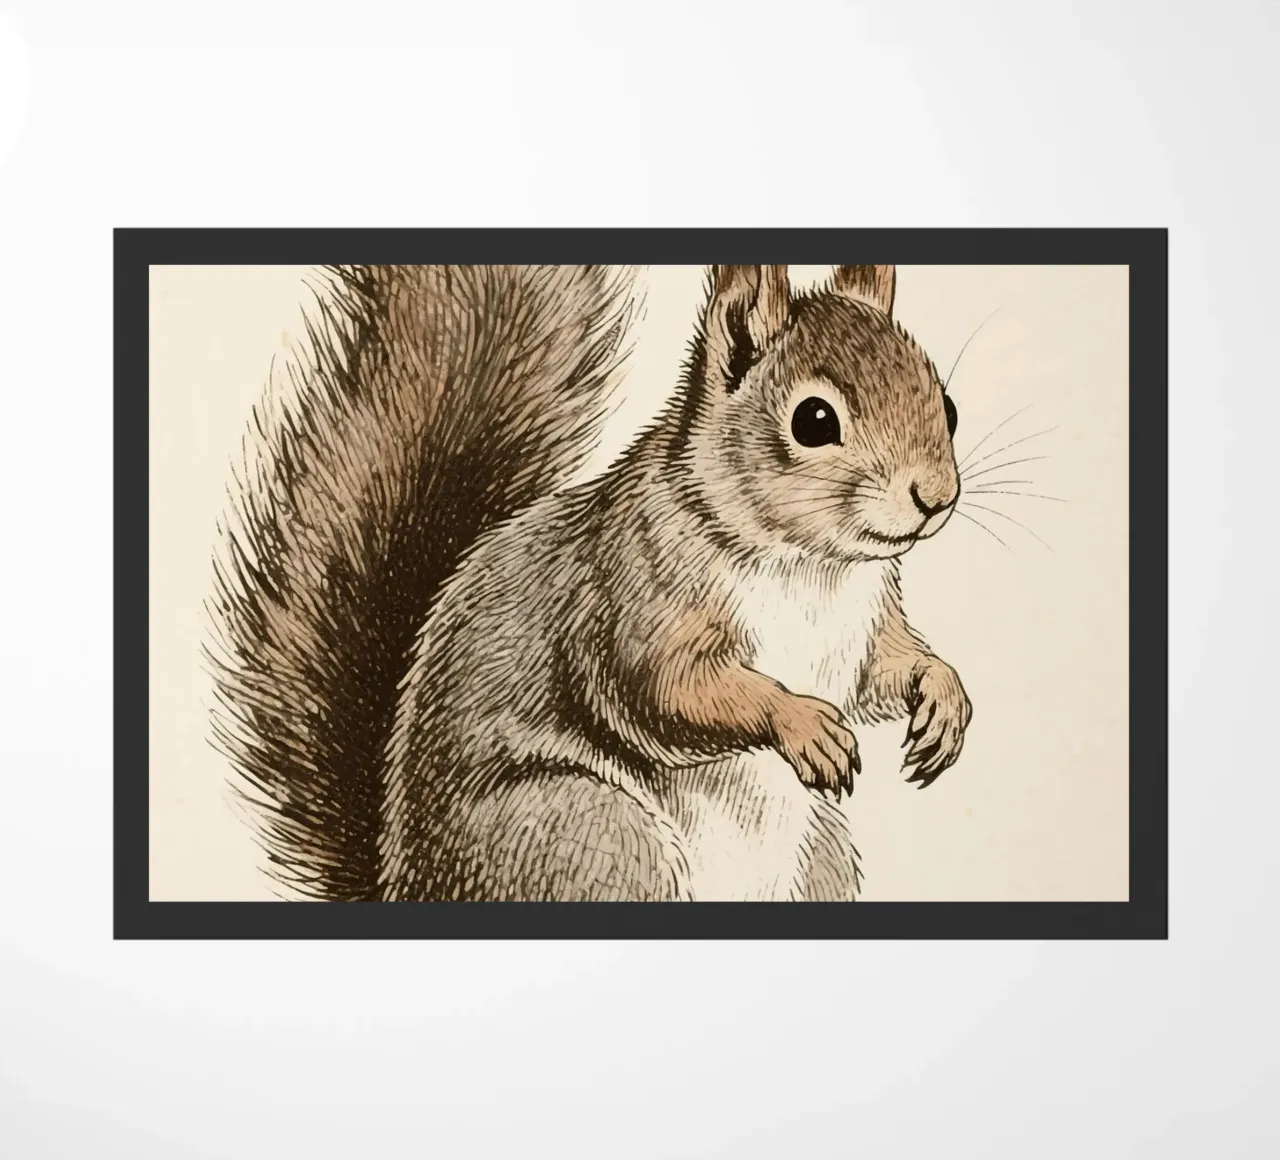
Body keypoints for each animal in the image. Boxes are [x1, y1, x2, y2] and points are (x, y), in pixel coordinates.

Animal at [208, 262, 972, 902]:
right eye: (814, 420)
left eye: (949, 406)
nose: (935, 498)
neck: (810, 566)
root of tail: (406, 888)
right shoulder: (631, 594)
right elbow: (663, 689)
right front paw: (801, 721)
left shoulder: (869, 622)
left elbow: (887, 669)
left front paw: (943, 698)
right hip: (588, 833)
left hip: (819, 858)